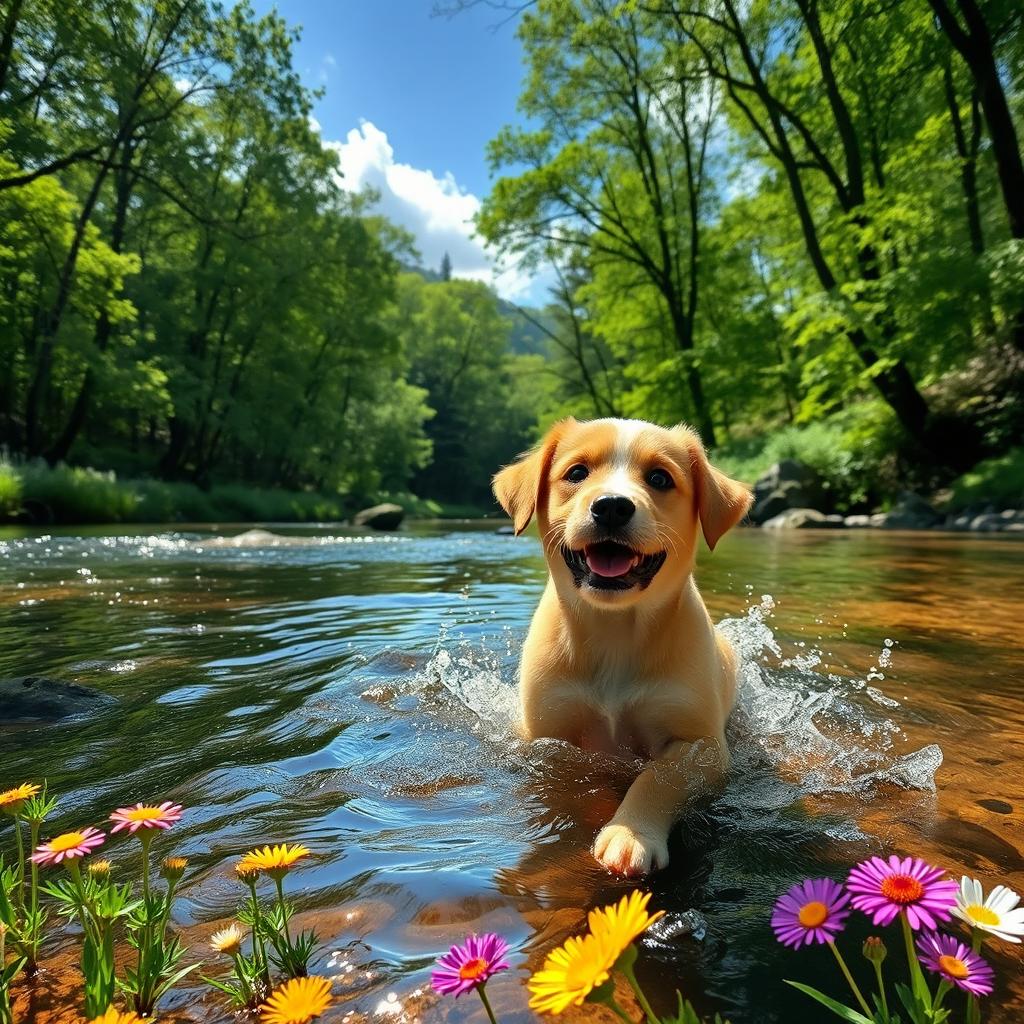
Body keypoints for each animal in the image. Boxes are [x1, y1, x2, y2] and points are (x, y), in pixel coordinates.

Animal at [491, 411, 749, 876]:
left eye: (660, 478)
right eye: (577, 473)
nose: (611, 505)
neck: (615, 630)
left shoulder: (703, 746)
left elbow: (657, 777)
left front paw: (631, 834)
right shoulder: (545, 736)